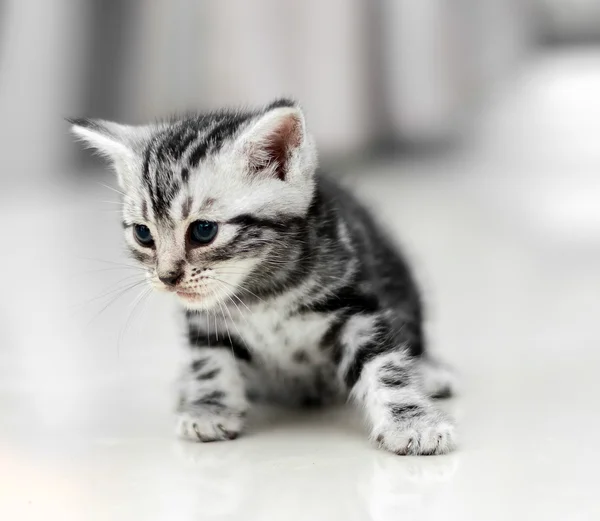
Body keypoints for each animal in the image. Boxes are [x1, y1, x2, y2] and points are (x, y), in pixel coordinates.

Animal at [70, 99, 454, 452]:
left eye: (203, 231)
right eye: (143, 234)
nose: (167, 277)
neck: (262, 293)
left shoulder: (356, 305)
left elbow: (386, 366)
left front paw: (412, 422)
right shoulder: (206, 320)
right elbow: (210, 362)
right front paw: (209, 408)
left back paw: (429, 371)